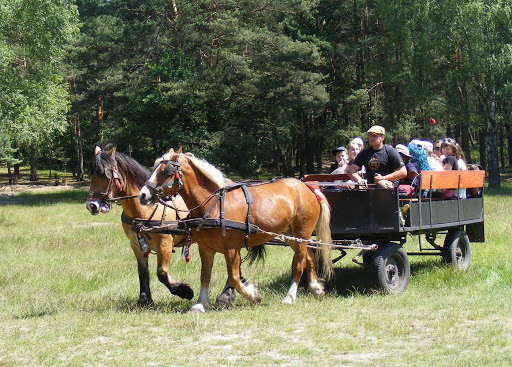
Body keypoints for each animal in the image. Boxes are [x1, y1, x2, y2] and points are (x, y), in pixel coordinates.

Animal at [86, 145, 194, 306]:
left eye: (106, 175)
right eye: (91, 174)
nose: (91, 205)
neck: (146, 209)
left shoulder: (165, 243)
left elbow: (162, 273)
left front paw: (184, 290)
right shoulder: (136, 244)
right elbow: (143, 272)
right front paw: (144, 299)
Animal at [138, 148, 334, 312]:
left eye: (166, 171)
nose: (142, 195)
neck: (214, 204)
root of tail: (308, 188)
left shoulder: (232, 249)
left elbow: (233, 277)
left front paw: (253, 295)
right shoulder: (205, 248)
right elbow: (205, 276)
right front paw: (201, 303)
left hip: (301, 233)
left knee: (299, 263)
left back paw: (290, 296)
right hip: (290, 235)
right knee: (309, 257)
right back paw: (315, 288)